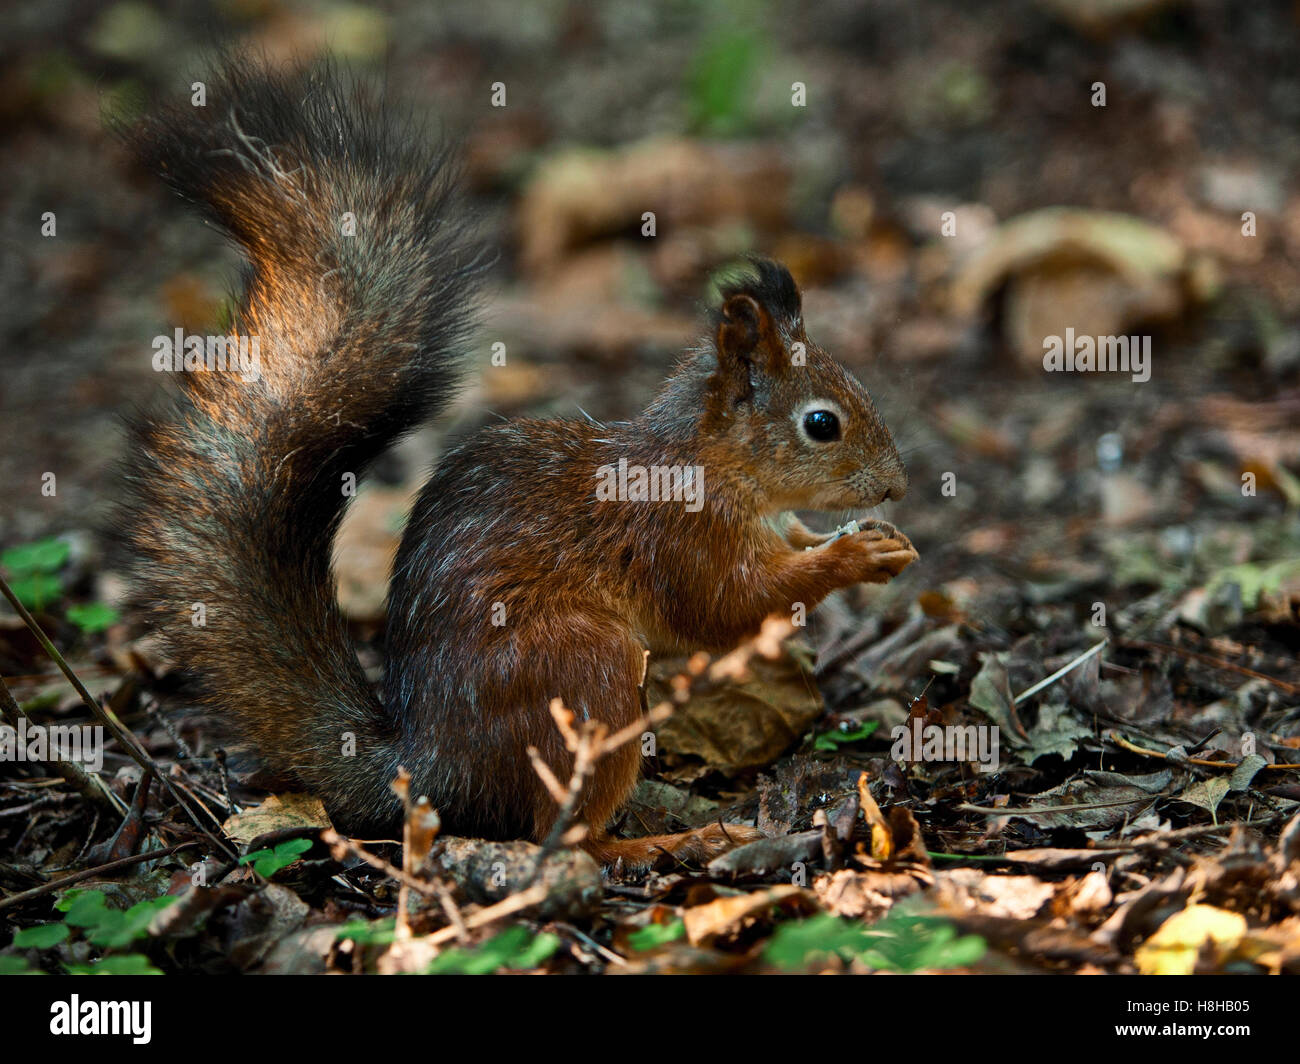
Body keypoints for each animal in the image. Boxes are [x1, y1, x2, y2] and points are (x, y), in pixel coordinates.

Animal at [117, 59, 917, 871]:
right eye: (822, 425)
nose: (896, 486)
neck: (712, 465)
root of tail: (432, 768)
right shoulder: (679, 535)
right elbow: (733, 606)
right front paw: (853, 557)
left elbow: (786, 550)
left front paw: (870, 543)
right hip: (583, 668)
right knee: (565, 835)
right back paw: (671, 838)